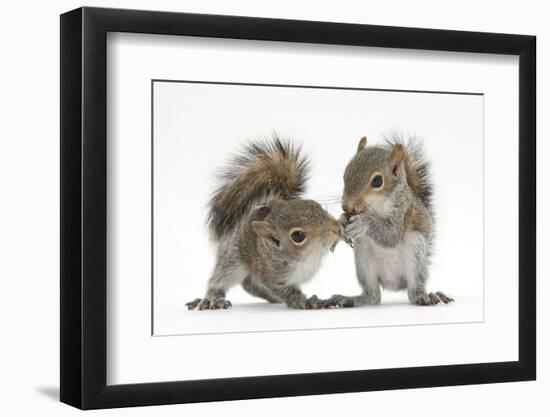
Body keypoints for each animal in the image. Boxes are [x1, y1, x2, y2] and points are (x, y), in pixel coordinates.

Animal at [188, 136, 342, 308]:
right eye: (298, 236)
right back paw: (210, 299)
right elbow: (287, 291)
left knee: (250, 285)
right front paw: (305, 301)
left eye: (316, 205)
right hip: (232, 260)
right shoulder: (270, 275)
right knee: (220, 280)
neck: (307, 258)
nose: (336, 228)